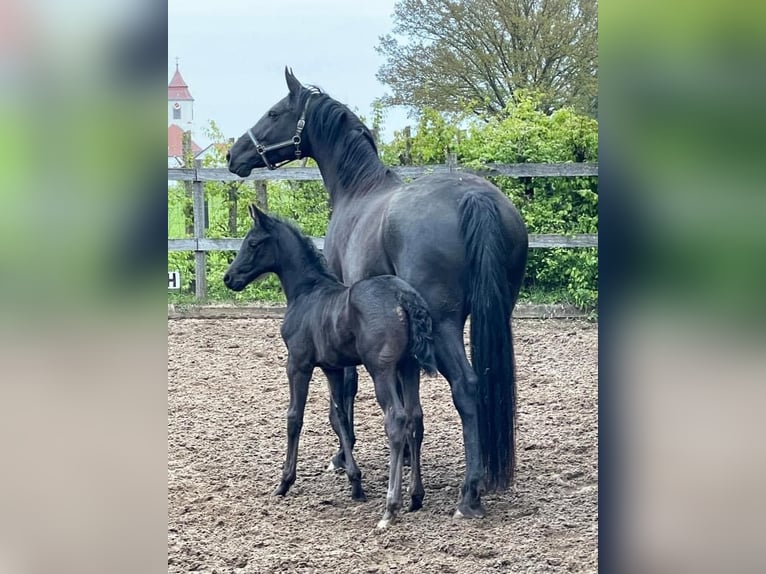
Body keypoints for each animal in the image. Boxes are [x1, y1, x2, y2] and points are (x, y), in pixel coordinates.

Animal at [224, 206, 438, 532]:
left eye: (252, 243)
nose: (229, 278)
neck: (307, 293)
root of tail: (403, 296)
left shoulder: (298, 364)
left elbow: (294, 417)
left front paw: (284, 482)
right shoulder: (333, 368)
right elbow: (339, 417)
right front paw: (355, 482)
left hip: (382, 370)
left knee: (396, 420)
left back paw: (390, 507)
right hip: (408, 367)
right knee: (415, 417)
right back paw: (415, 496)